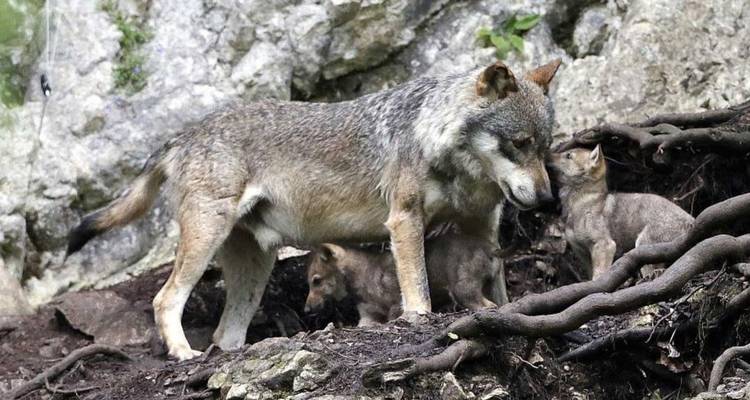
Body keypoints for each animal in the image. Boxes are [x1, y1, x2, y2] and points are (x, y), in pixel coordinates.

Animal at [304, 233, 507, 326]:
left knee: (488, 306)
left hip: (464, 290)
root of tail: (491, 248)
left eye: (316, 280)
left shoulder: (396, 306)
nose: (306, 310)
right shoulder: (368, 316)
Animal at [548, 145, 694, 279]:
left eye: (568, 155)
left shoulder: (605, 245)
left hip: (643, 244)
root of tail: (692, 222)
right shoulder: (582, 252)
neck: (580, 205)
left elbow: (599, 276)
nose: (546, 155)